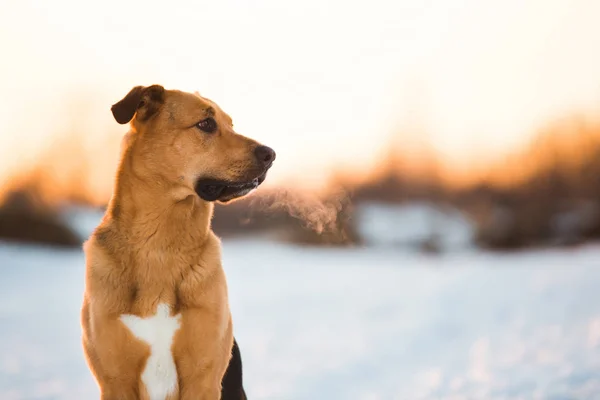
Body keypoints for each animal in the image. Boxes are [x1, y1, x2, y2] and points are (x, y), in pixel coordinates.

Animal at [81, 85, 276, 400]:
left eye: (231, 124)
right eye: (206, 124)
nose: (271, 154)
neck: (159, 245)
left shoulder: (203, 376)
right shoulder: (115, 380)